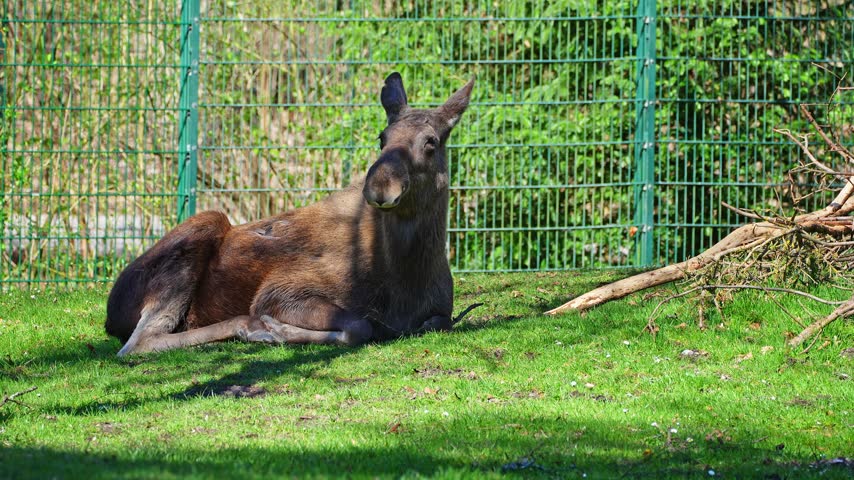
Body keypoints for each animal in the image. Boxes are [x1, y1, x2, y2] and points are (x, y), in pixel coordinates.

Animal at [105, 72, 475, 356]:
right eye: (382, 137)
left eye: (431, 141)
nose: (381, 187)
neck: (408, 276)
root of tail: (110, 314)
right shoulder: (281, 291)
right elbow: (360, 325)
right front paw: (279, 329)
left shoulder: (441, 312)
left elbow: (437, 322)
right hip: (206, 222)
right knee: (137, 344)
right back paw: (251, 327)